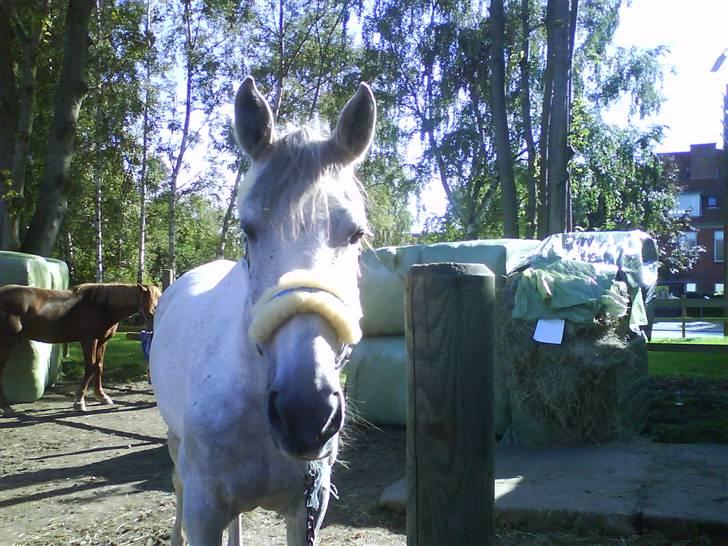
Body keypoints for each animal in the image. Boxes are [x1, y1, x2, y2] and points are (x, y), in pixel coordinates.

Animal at [0, 282, 161, 415]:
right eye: (154, 308)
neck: (101, 306)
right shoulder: (89, 340)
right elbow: (90, 367)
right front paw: (79, 401)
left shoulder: (102, 341)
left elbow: (99, 366)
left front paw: (102, 396)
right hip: (6, 341)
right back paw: (7, 408)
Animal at [149, 75, 375, 545]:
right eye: (248, 230)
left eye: (356, 234)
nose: (306, 413)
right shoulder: (203, 511)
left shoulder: (307, 509)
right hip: (177, 449)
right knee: (176, 483)